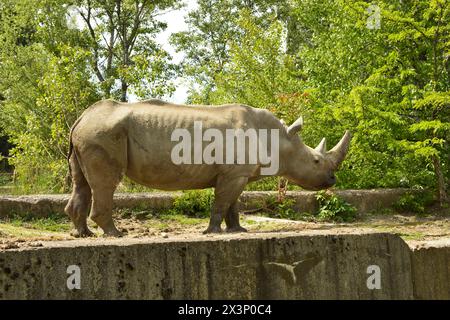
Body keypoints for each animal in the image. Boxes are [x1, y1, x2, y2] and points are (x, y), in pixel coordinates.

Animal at [64, 99, 352, 236]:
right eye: (316, 161)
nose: (332, 180)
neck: (277, 138)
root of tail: (82, 118)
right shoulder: (234, 173)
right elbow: (222, 201)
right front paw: (212, 231)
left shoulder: (236, 173)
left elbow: (233, 204)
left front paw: (238, 231)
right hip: (101, 134)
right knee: (106, 183)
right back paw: (116, 234)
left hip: (88, 135)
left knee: (82, 182)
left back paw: (84, 234)